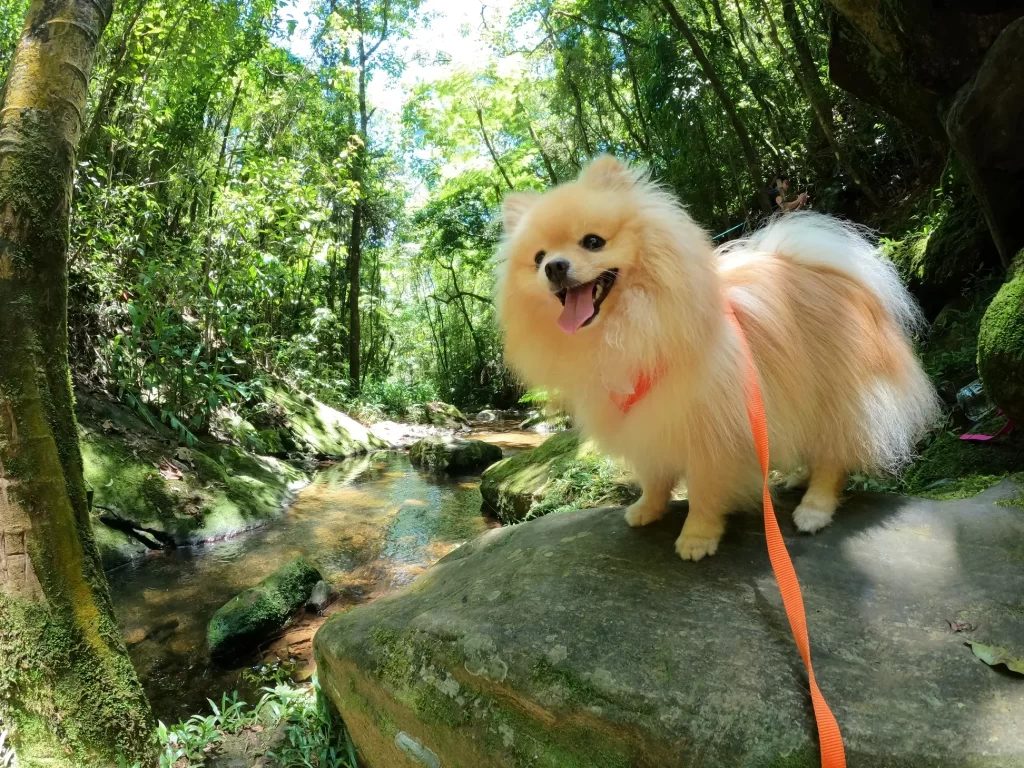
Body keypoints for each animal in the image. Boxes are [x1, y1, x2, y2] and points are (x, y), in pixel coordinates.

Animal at [493, 157, 937, 565]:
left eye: (592, 242)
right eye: (538, 257)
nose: (554, 267)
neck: (627, 327)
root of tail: (839, 274)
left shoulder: (712, 429)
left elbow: (704, 491)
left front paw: (697, 537)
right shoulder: (647, 419)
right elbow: (653, 474)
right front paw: (647, 509)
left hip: (842, 397)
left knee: (834, 458)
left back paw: (814, 507)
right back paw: (797, 476)